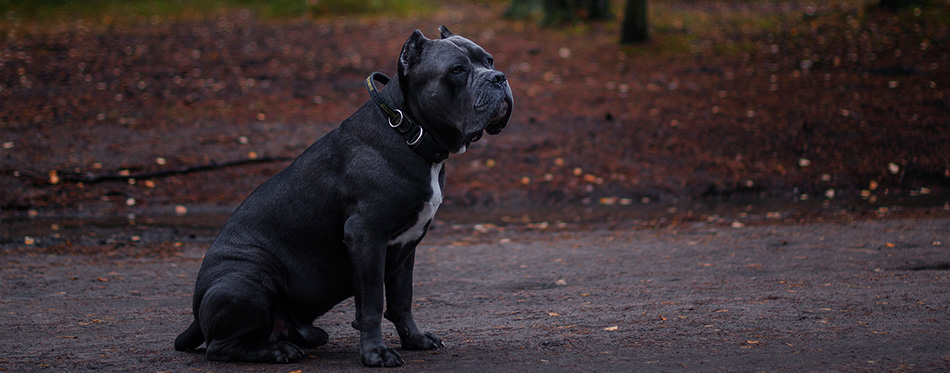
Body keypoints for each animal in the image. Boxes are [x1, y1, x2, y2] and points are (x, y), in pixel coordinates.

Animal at [171, 26, 512, 366]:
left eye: (489, 60)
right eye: (456, 70)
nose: (499, 77)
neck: (410, 133)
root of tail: (195, 316)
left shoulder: (406, 247)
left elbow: (402, 300)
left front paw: (414, 340)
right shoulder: (366, 237)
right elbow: (373, 304)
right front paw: (375, 353)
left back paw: (302, 336)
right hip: (249, 276)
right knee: (220, 346)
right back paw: (278, 351)